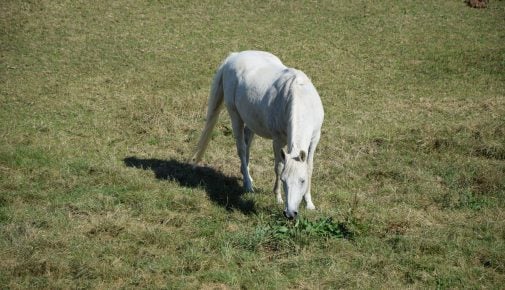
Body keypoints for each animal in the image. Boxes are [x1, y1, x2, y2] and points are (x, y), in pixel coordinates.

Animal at [189, 50, 322, 218]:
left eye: (302, 181)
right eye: (284, 180)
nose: (290, 213)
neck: (301, 97)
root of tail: (233, 56)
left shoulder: (315, 139)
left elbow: (309, 167)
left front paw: (309, 203)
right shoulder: (278, 141)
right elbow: (278, 166)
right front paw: (278, 197)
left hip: (250, 120)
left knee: (248, 143)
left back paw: (247, 176)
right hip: (235, 116)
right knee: (241, 148)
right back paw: (248, 184)